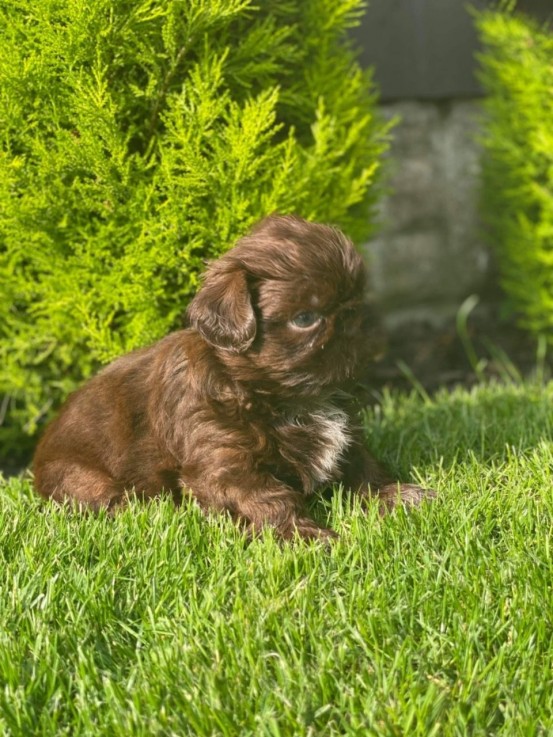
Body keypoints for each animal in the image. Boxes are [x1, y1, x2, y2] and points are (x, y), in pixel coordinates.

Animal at [32, 216, 434, 536]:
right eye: (305, 318)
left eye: (358, 296)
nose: (356, 318)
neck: (288, 397)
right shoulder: (227, 461)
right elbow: (267, 499)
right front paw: (303, 537)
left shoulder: (347, 437)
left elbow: (361, 468)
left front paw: (395, 497)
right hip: (81, 478)